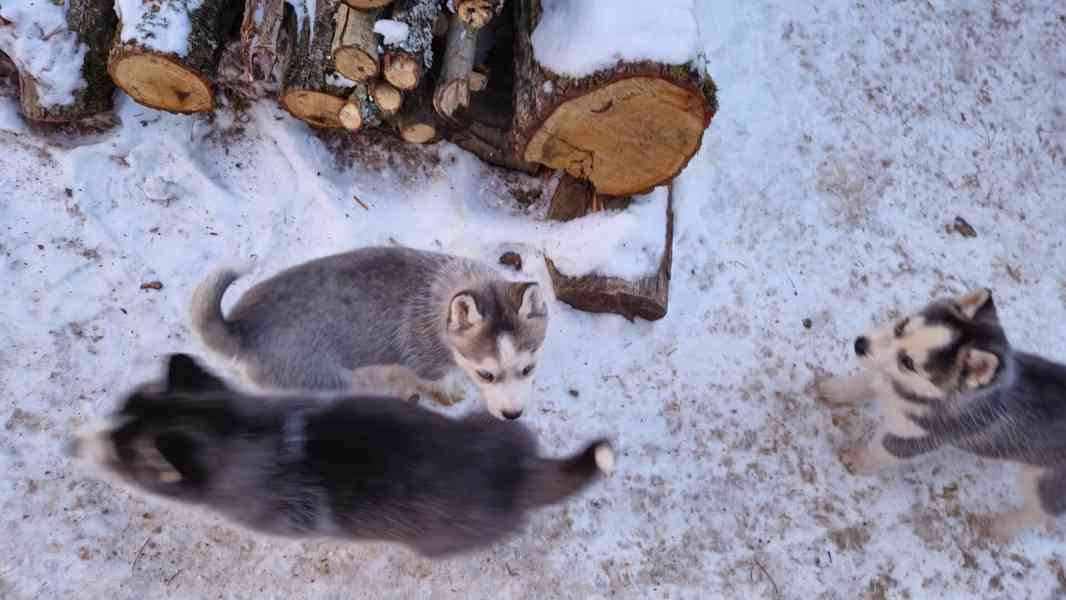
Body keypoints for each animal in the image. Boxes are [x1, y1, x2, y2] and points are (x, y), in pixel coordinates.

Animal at [188, 246, 550, 419]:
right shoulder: (426, 363)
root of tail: (243, 329)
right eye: (485, 375)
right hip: (327, 383)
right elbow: (439, 382)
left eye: (528, 370)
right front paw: (450, 395)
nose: (513, 416)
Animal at [814, 287, 1066, 541]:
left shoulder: (920, 437)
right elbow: (868, 381)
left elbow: (881, 449)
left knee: (1038, 512)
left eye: (907, 362)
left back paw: (997, 527)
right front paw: (836, 390)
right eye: (901, 326)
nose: (860, 344)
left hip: (1045, 484)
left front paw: (857, 460)